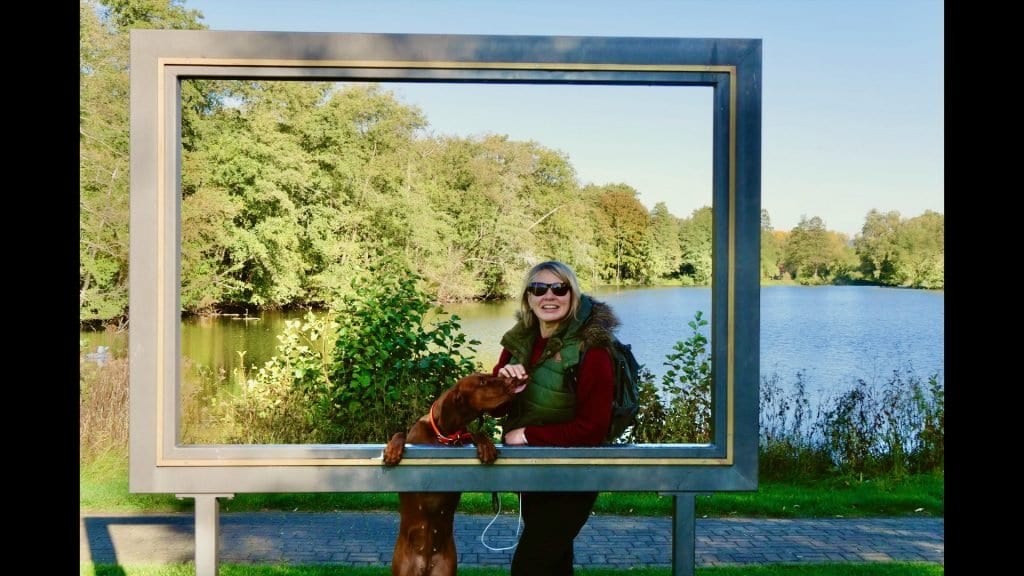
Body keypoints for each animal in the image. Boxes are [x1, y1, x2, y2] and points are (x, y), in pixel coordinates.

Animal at [385, 373, 528, 573]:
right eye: (482, 381)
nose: (513, 379)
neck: (444, 436)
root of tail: (425, 562)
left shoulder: (463, 437)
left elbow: (476, 433)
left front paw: (487, 445)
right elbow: (399, 433)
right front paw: (392, 450)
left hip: (445, 567)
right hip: (404, 568)